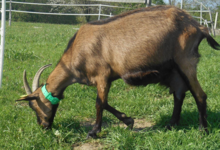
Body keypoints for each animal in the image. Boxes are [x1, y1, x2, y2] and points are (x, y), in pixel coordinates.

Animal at [17, 5, 220, 138]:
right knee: (179, 94)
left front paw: (94, 131)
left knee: (200, 95)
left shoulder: (102, 75)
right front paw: (128, 121)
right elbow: (105, 103)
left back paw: (203, 131)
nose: (43, 126)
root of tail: (198, 26)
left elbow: (100, 103)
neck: (76, 53)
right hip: (174, 70)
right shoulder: (107, 78)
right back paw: (171, 125)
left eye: (34, 105)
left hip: (186, 61)